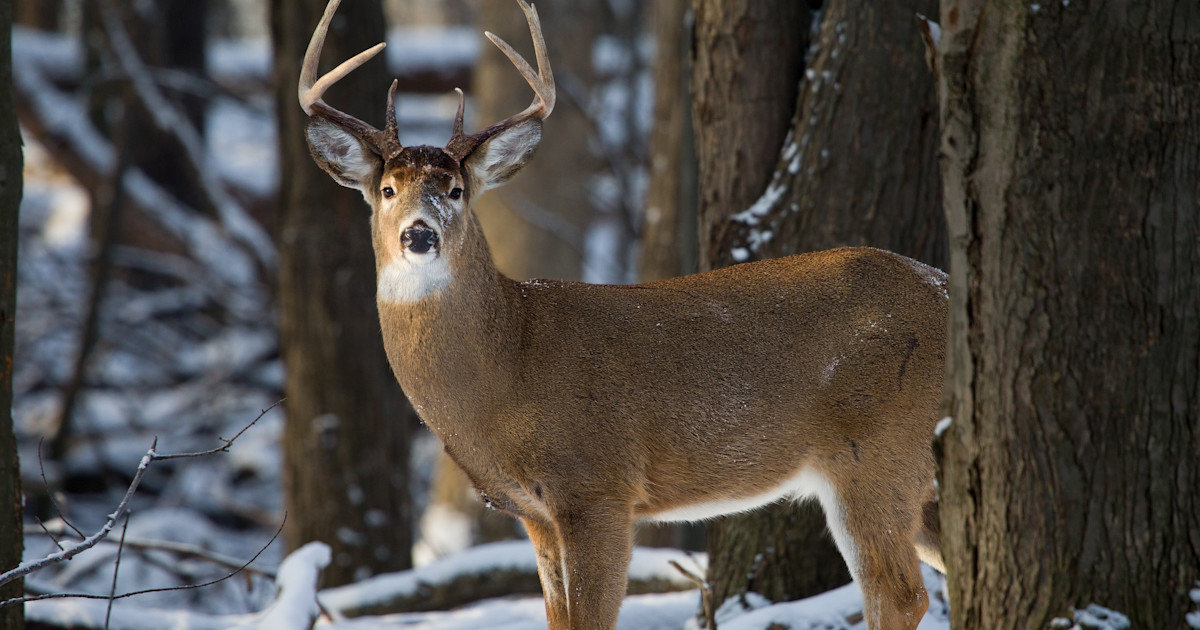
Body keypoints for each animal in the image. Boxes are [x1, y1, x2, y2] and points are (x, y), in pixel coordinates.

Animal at [298, 1, 948, 628]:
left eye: (456, 190)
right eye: (387, 190)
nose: (419, 234)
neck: (508, 363)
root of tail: (944, 288)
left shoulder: (597, 486)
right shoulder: (535, 512)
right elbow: (560, 620)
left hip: (878, 448)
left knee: (899, 595)